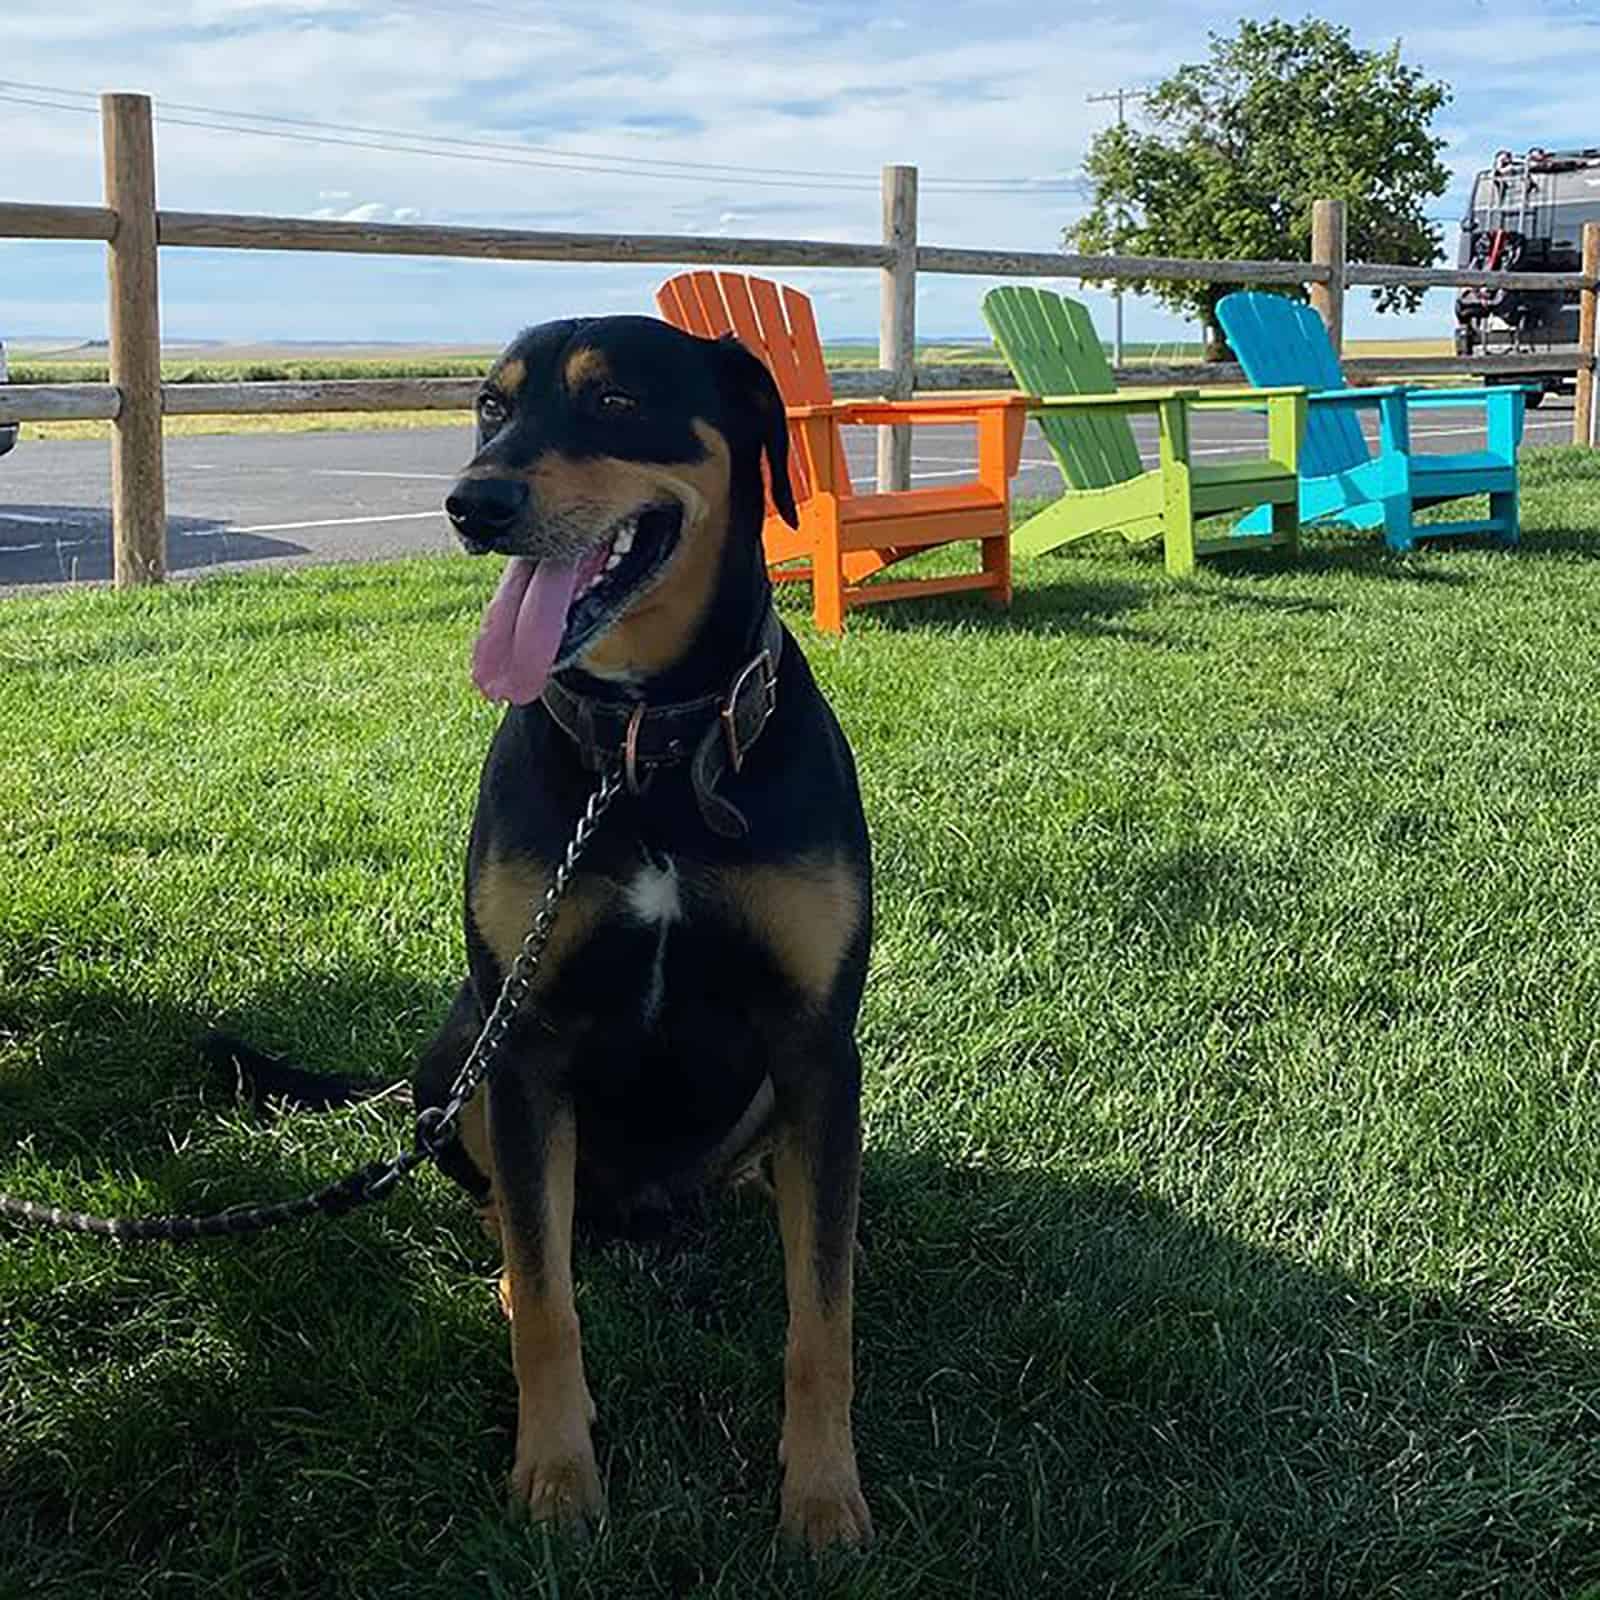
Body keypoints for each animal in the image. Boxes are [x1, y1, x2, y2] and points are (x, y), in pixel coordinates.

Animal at [211, 321, 870, 1548]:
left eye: (614, 400)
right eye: (489, 406)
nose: (474, 503)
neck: (647, 748)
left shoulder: (817, 1045)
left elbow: (822, 1310)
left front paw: (822, 1492)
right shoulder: (523, 1039)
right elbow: (550, 1298)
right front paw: (559, 1475)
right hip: (457, 1055)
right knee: (513, 1215)